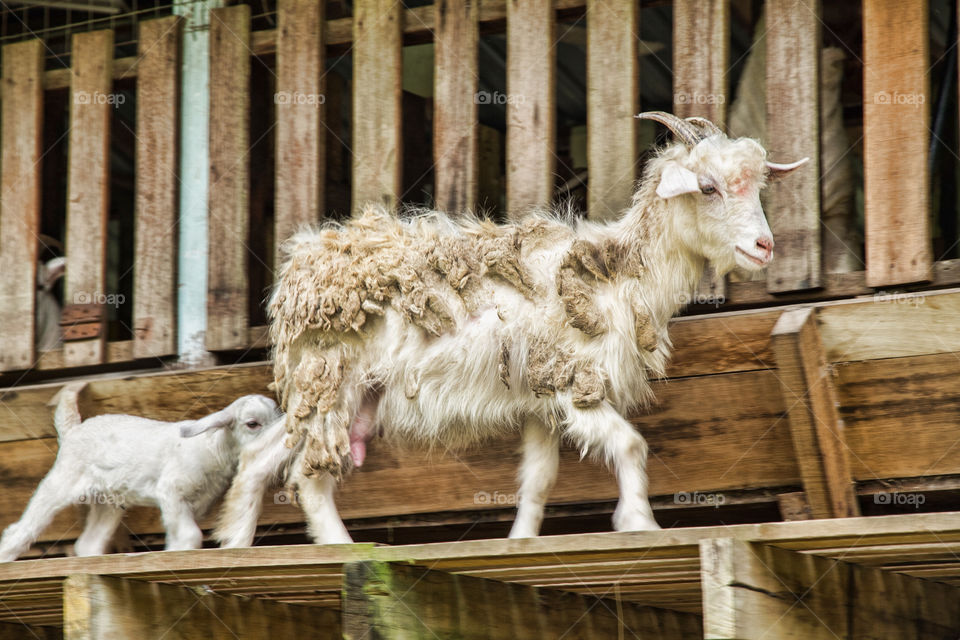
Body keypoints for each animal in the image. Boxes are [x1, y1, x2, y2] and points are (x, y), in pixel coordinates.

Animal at [214, 112, 808, 548]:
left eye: (757, 187)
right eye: (707, 187)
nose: (764, 247)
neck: (616, 276)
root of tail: (302, 263)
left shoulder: (540, 398)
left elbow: (538, 481)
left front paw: (521, 539)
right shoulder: (572, 381)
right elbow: (631, 444)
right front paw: (639, 522)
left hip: (330, 391)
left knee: (265, 456)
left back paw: (235, 545)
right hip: (329, 377)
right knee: (309, 476)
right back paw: (337, 547)